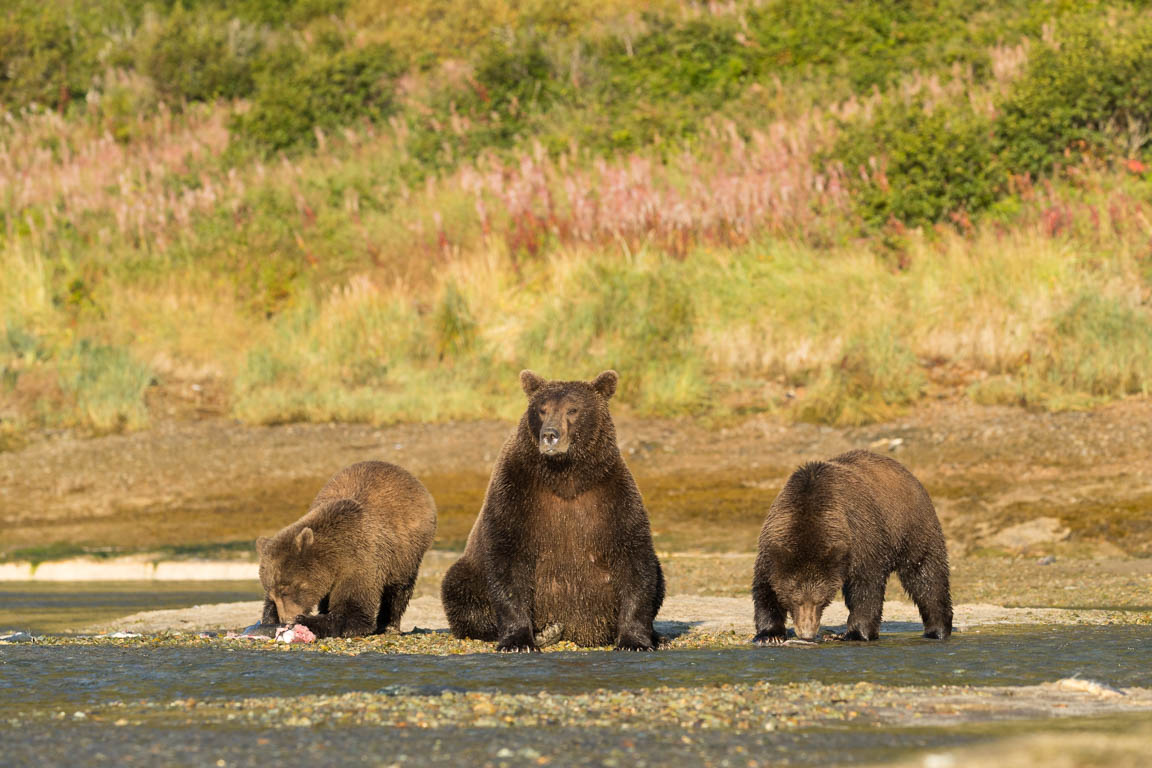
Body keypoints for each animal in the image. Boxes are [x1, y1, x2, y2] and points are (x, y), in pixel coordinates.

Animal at [255, 462, 435, 635]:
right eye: (273, 593)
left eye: (286, 590)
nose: (286, 619)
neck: (336, 560)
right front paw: (270, 619)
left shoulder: (361, 563)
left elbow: (353, 611)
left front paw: (307, 620)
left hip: (406, 554)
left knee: (399, 589)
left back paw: (389, 625)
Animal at [440, 368, 668, 654]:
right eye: (542, 409)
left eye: (573, 409)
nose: (550, 434)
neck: (566, 475)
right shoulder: (517, 492)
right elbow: (508, 560)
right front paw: (518, 641)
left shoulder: (610, 494)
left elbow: (634, 559)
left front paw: (634, 641)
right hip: (471, 573)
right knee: (459, 590)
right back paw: (544, 632)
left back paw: (656, 636)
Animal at [751, 446, 949, 644]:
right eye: (795, 599)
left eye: (820, 600)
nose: (807, 634)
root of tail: (909, 474)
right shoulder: (772, 550)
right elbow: (765, 589)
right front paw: (769, 634)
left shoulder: (861, 540)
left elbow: (866, 587)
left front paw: (855, 633)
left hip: (912, 528)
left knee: (926, 577)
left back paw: (937, 629)